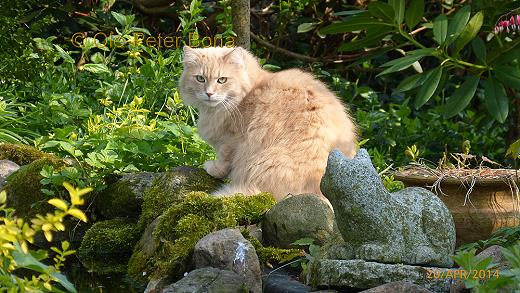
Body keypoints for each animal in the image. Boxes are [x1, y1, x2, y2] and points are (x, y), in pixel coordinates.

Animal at [180, 46, 358, 201]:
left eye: (222, 80)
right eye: (200, 79)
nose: (209, 93)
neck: (248, 92)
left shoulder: (231, 140)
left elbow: (223, 160)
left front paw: (213, 168)